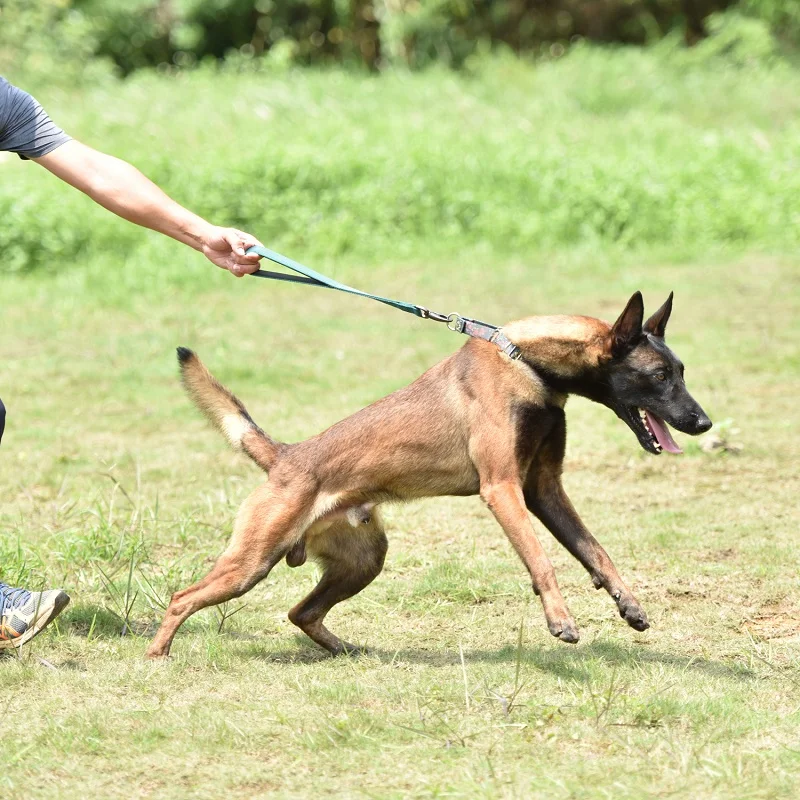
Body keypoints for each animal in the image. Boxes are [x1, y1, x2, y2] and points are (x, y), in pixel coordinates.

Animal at [148, 290, 712, 660]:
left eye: (682, 372)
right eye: (659, 376)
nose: (703, 422)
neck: (528, 364)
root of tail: (285, 456)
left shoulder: (544, 489)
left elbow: (594, 549)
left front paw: (628, 603)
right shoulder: (502, 489)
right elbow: (542, 561)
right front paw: (560, 620)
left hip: (364, 561)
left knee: (300, 613)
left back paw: (346, 648)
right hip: (251, 561)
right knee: (182, 599)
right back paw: (157, 655)